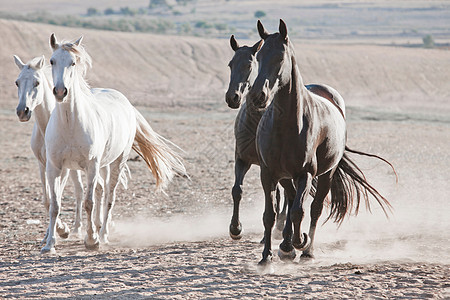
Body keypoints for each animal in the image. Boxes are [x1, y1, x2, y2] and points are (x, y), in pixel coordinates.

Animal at [43, 33, 187, 253]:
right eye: (52, 61)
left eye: (73, 62)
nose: (60, 91)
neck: (70, 123)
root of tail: (125, 102)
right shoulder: (55, 167)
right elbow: (55, 205)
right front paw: (50, 244)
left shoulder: (91, 165)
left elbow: (89, 202)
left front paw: (91, 240)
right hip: (102, 165)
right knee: (101, 191)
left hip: (116, 162)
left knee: (109, 196)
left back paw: (103, 234)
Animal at [248, 19, 396, 264]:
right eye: (258, 57)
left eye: (280, 57)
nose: (257, 95)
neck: (286, 125)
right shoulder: (268, 173)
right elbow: (269, 215)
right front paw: (266, 257)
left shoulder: (305, 174)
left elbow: (299, 211)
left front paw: (300, 241)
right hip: (287, 177)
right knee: (291, 200)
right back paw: (286, 246)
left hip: (327, 173)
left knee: (314, 208)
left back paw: (306, 250)